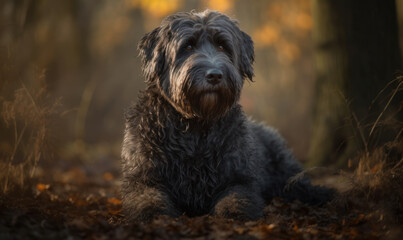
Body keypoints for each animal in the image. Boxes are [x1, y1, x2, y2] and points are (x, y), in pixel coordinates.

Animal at [120, 9, 334, 223]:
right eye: (188, 46)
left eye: (222, 46)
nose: (214, 75)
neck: (196, 128)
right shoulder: (143, 178)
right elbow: (147, 198)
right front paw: (154, 214)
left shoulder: (238, 179)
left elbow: (237, 197)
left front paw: (234, 213)